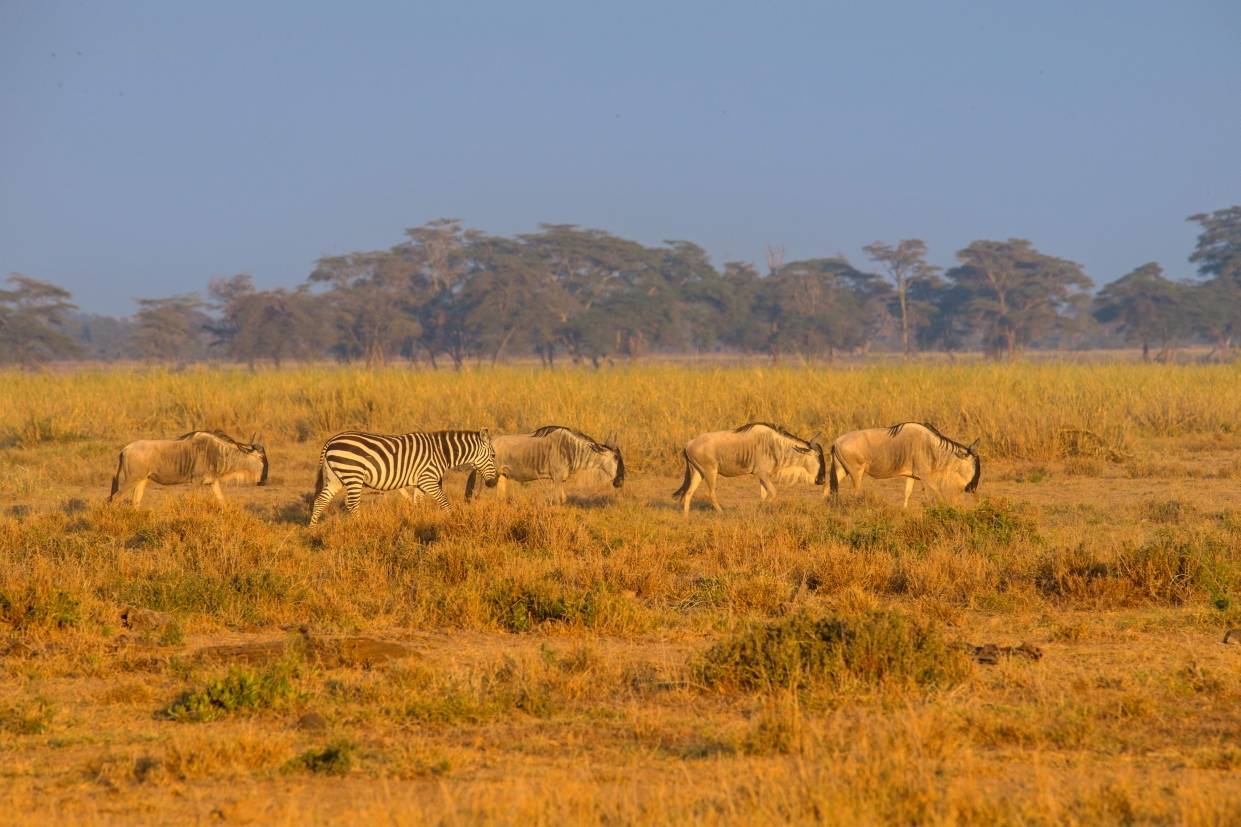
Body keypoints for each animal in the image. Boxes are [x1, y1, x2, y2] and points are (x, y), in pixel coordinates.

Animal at [307, 424, 496, 521]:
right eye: (493, 455)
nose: (492, 483)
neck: (441, 452)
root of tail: (331, 440)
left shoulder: (420, 483)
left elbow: (418, 504)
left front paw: (418, 523)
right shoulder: (428, 480)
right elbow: (445, 502)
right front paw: (452, 521)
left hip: (336, 477)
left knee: (321, 500)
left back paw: (313, 530)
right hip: (353, 475)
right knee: (352, 504)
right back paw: (360, 526)